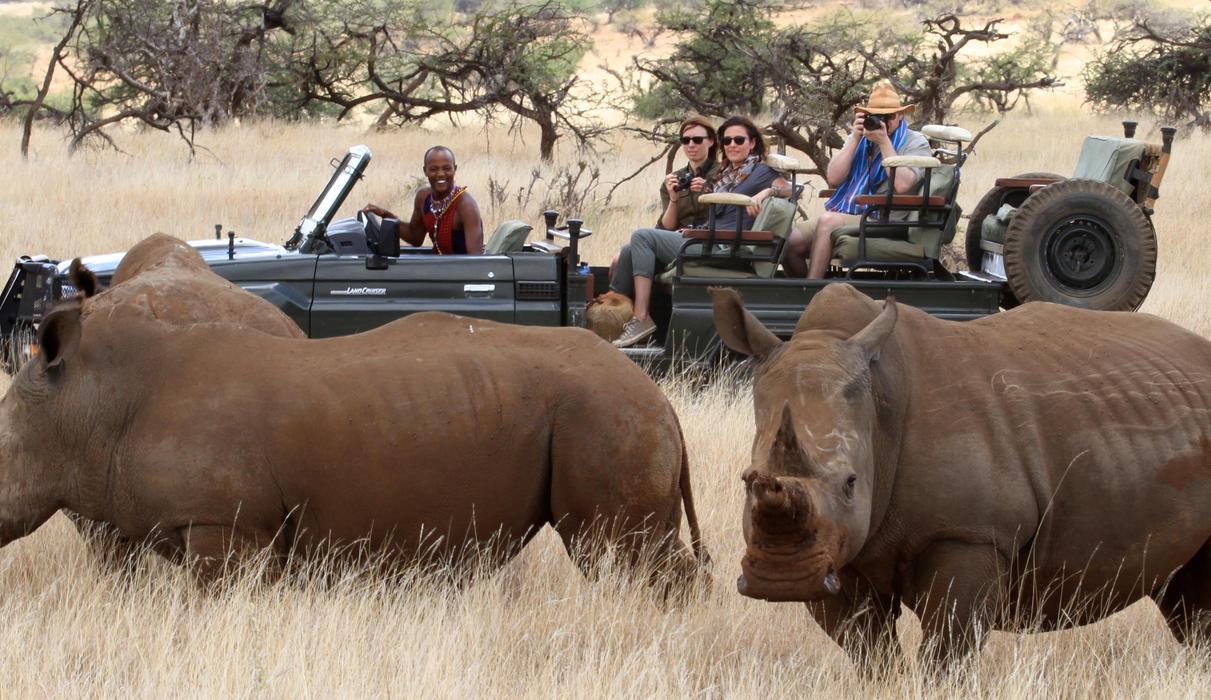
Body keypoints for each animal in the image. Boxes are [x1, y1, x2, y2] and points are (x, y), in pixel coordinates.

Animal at [0, 258, 706, 589]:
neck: (86, 399)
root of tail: (658, 396)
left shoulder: (225, 526)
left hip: (605, 414)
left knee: (618, 552)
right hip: (608, 412)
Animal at [712, 283, 1211, 667]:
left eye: (851, 484)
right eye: (747, 480)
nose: (782, 580)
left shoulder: (970, 533)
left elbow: (947, 650)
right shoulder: (836, 553)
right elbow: (868, 651)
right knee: (1187, 603)